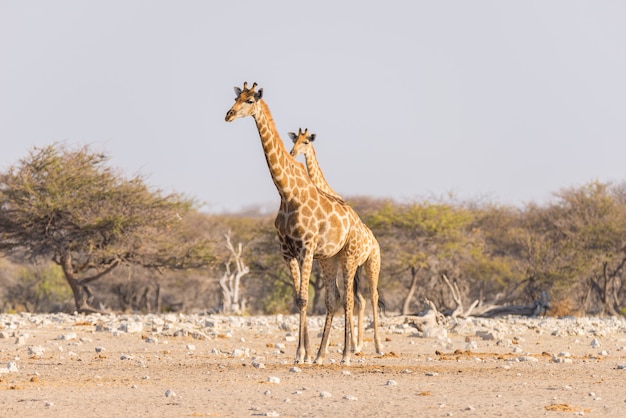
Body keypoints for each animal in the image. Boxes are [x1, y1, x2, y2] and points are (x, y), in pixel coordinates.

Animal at [224, 83, 364, 364]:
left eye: (250, 100)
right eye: (236, 97)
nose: (229, 115)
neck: (286, 192)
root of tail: (357, 221)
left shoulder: (306, 248)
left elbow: (304, 298)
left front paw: (301, 354)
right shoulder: (287, 250)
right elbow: (298, 299)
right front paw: (305, 353)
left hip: (350, 255)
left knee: (349, 300)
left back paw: (346, 355)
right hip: (330, 258)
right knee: (334, 298)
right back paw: (321, 355)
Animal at [286, 127, 382, 356]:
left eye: (306, 142)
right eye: (295, 141)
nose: (292, 153)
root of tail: (375, 242)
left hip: (371, 264)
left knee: (372, 296)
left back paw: (377, 345)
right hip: (358, 267)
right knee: (360, 299)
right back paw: (357, 344)